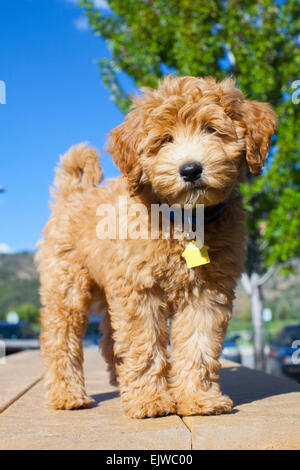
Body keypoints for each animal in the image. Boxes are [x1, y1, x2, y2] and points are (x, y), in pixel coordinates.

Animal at [36, 76, 278, 418]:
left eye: (212, 130)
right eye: (165, 140)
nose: (190, 170)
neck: (184, 220)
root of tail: (73, 193)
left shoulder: (207, 291)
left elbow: (199, 343)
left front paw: (198, 399)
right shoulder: (140, 290)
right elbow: (144, 342)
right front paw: (150, 400)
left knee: (109, 340)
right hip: (67, 285)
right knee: (60, 339)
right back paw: (67, 395)